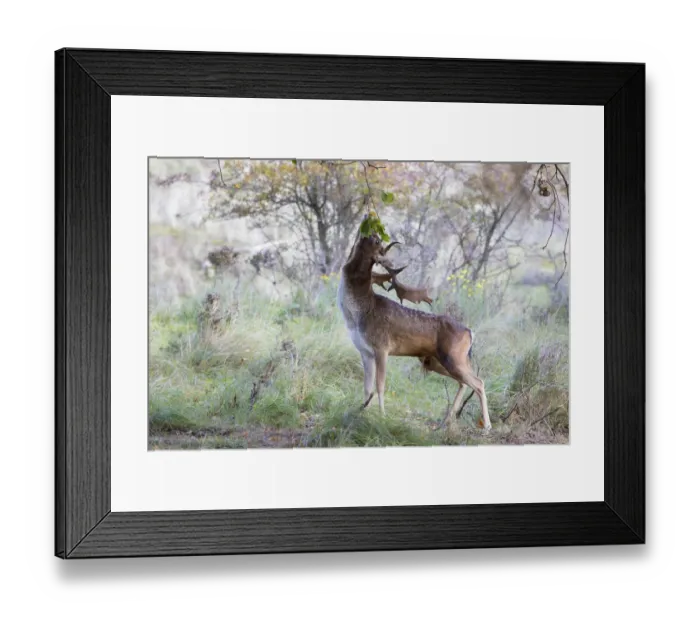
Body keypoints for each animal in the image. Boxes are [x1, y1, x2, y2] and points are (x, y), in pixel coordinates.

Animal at [337, 232, 491, 431]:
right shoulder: (365, 352)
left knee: (478, 382)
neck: (358, 314)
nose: (371, 233)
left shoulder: (382, 347)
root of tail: (470, 333)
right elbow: (367, 386)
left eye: (377, 241)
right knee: (463, 383)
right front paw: (363, 411)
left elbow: (380, 385)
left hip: (453, 357)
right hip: (438, 361)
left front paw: (382, 417)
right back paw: (445, 422)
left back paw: (486, 426)